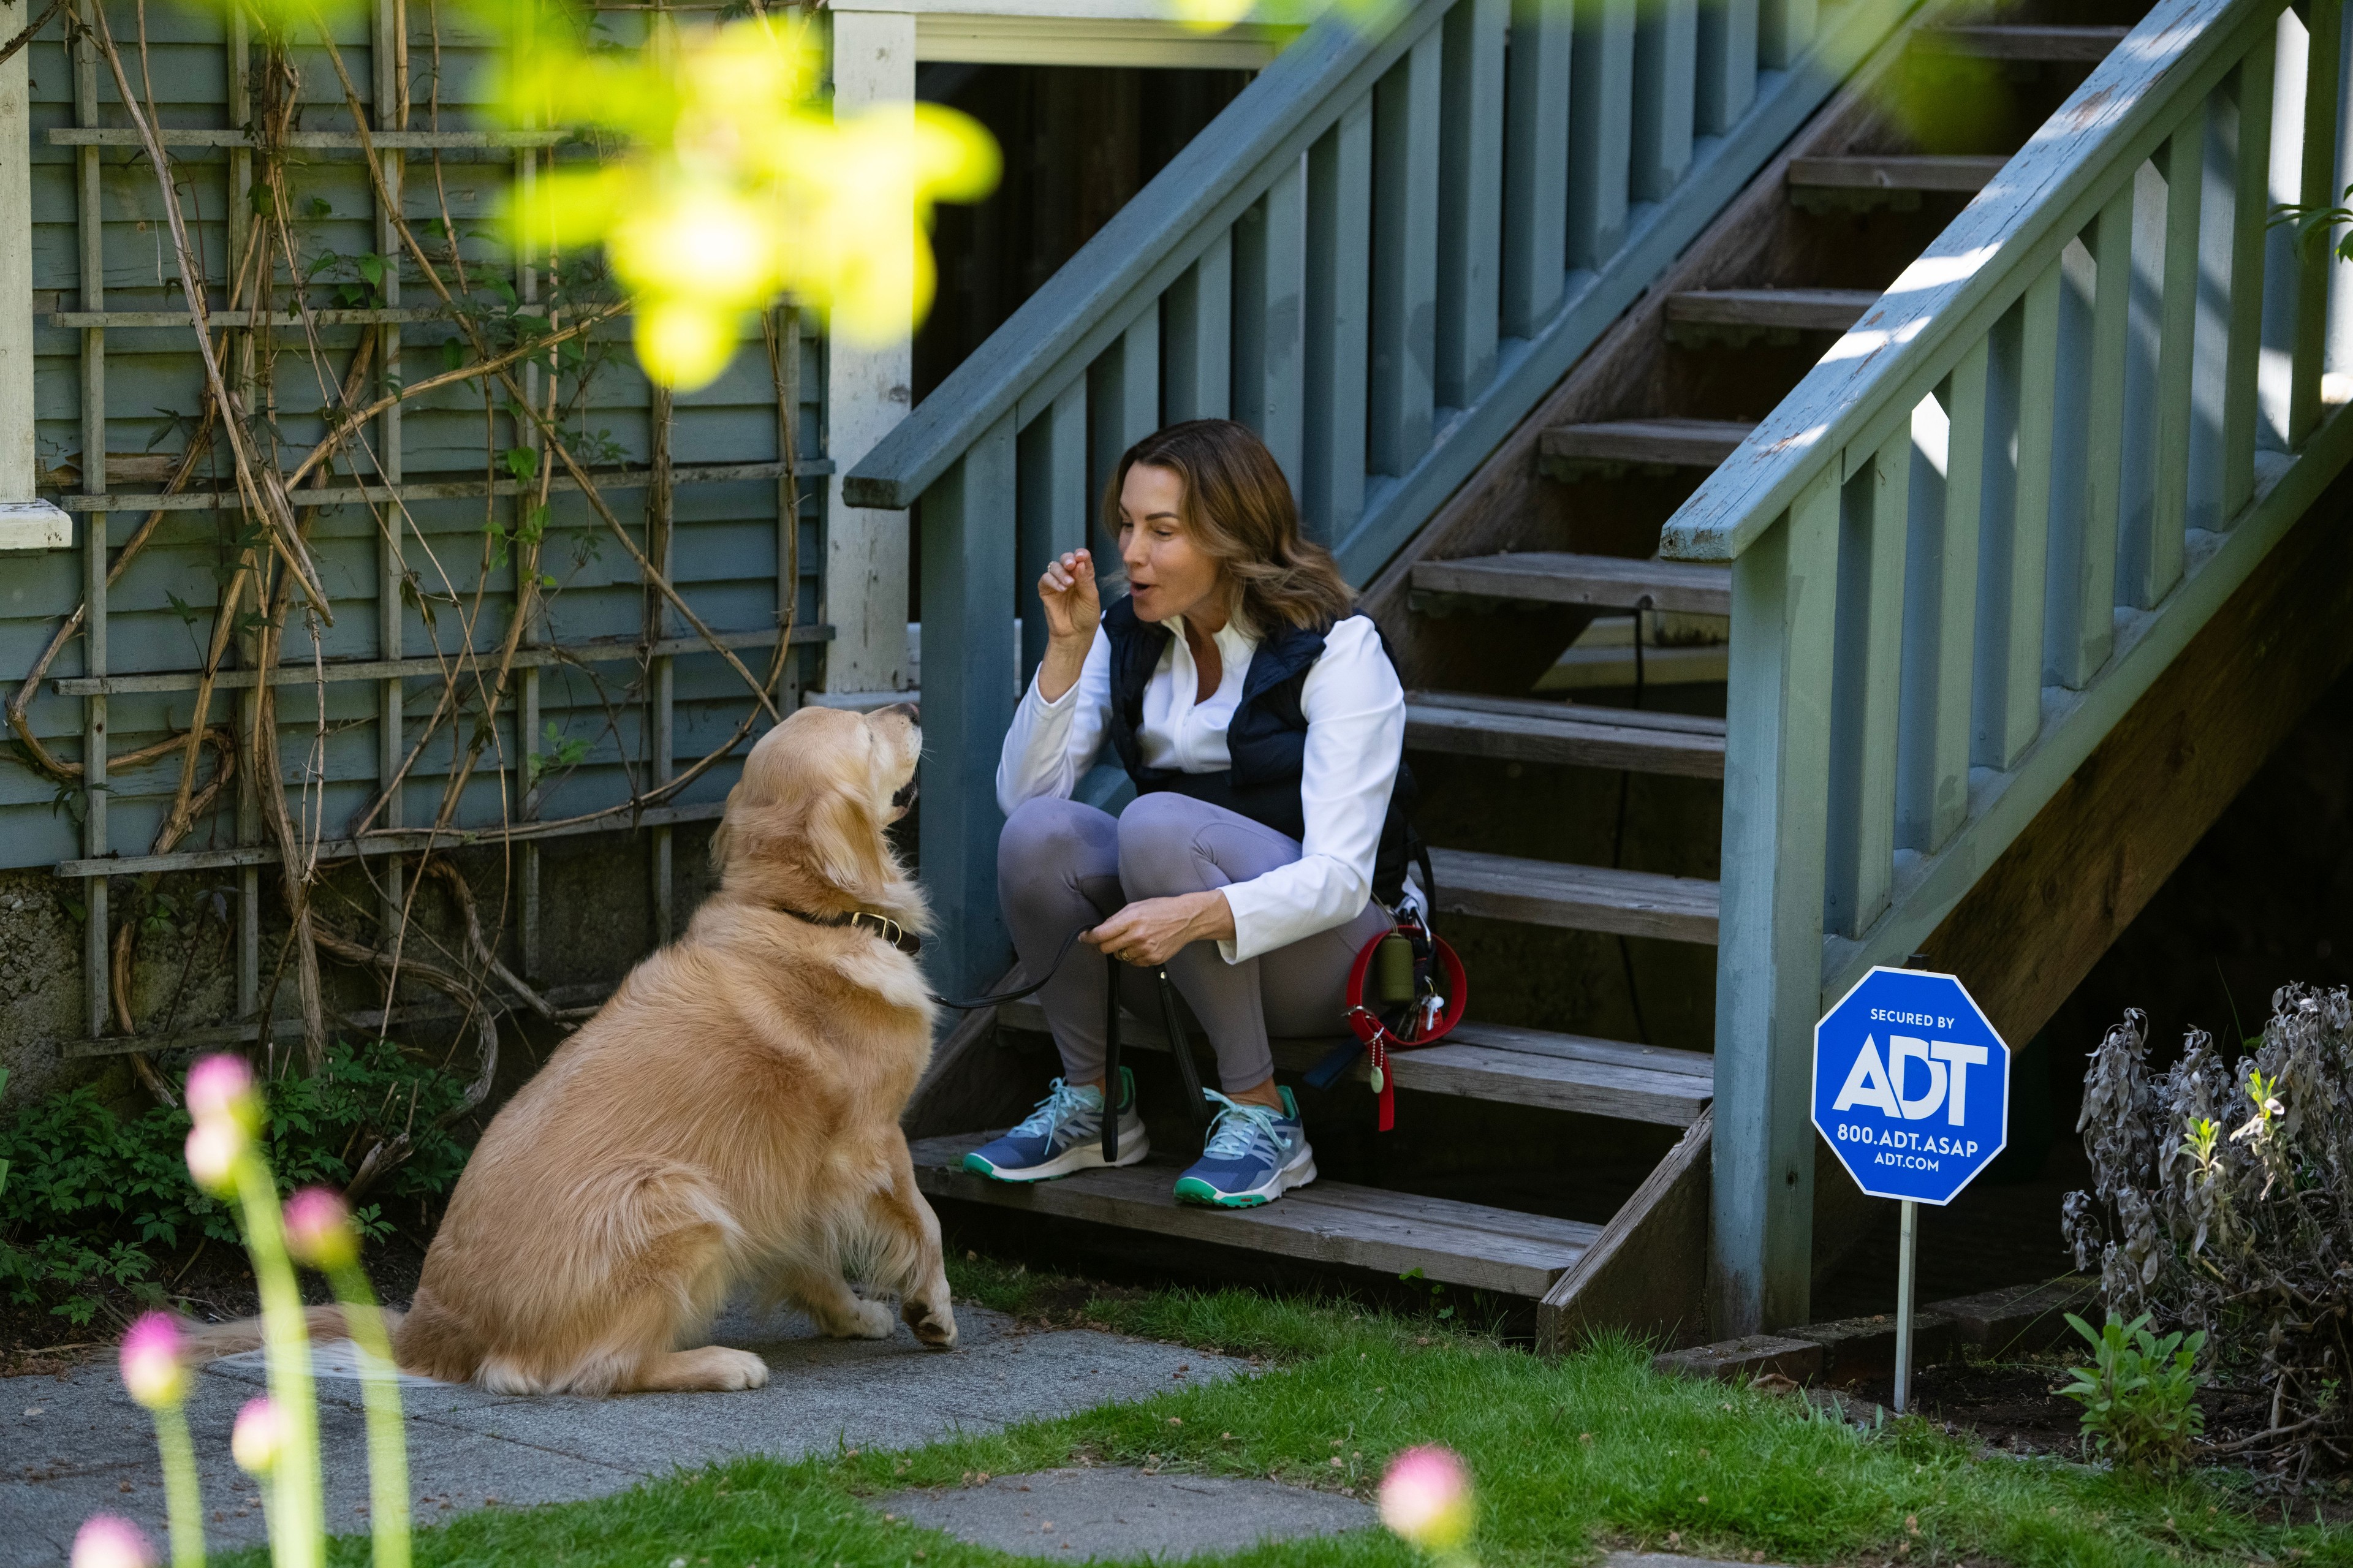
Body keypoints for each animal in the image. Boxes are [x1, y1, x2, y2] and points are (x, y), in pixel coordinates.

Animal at [186, 702, 955, 1384]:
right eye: (865, 733)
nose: (915, 706)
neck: (801, 913)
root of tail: (428, 1331)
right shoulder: (870, 1139)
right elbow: (925, 1219)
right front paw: (933, 1308)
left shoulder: (791, 1177)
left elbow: (811, 1255)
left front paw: (853, 1314)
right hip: (679, 1196)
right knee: (592, 1371)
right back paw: (718, 1364)